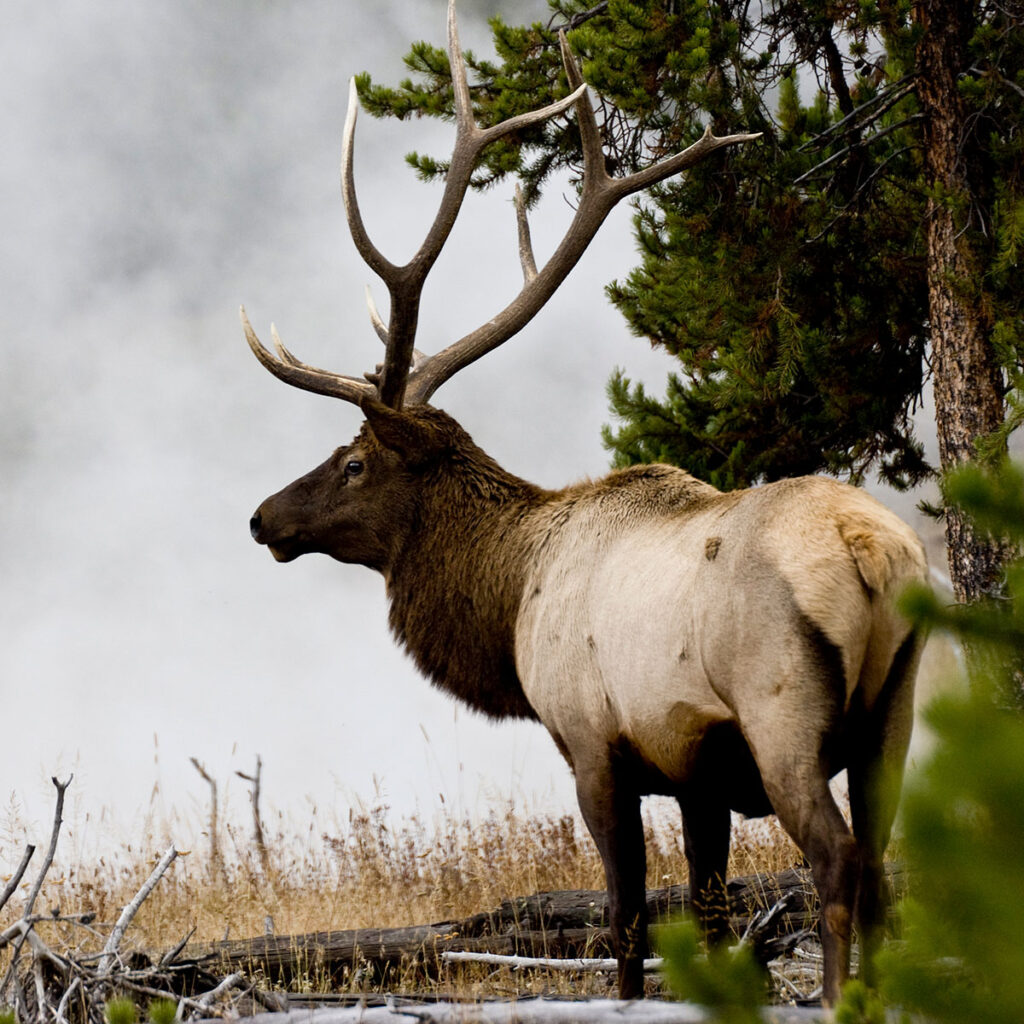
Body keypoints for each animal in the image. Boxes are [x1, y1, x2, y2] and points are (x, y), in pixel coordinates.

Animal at [241, 4, 929, 1003]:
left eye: (357, 461)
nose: (262, 516)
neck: (511, 596)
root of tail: (872, 552)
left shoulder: (594, 742)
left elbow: (627, 919)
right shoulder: (696, 771)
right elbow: (710, 913)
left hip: (782, 705)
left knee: (837, 860)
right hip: (894, 705)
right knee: (879, 863)